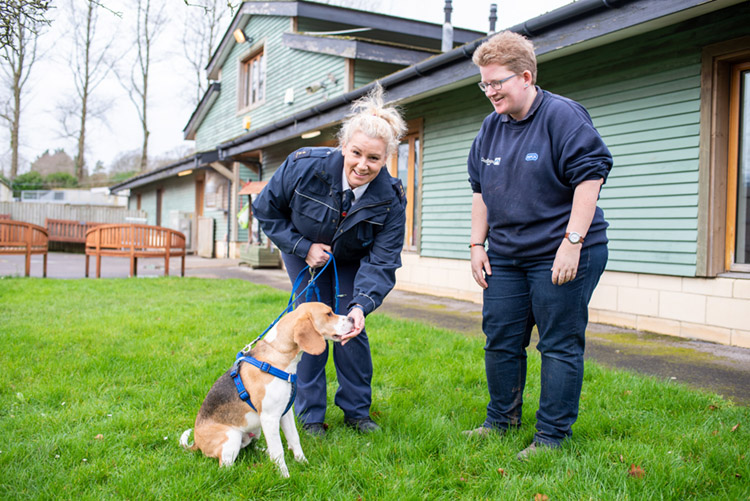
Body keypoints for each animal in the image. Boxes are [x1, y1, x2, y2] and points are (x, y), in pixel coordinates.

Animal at [181, 300, 354, 476]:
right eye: (328, 314)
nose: (353, 319)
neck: (276, 355)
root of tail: (196, 443)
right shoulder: (270, 418)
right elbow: (279, 451)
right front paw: (285, 476)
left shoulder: (286, 413)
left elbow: (294, 439)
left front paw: (303, 463)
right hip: (232, 437)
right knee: (226, 466)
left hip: (256, 430)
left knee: (253, 448)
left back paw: (265, 453)